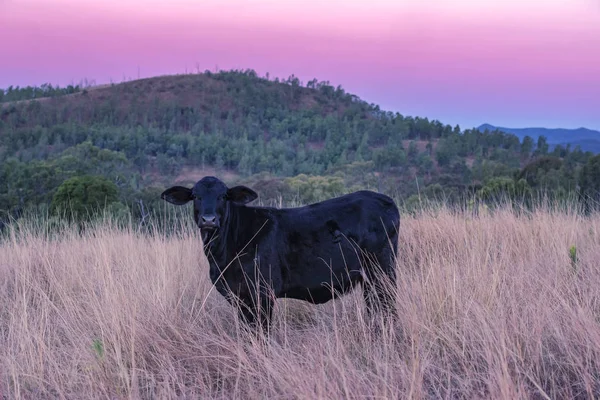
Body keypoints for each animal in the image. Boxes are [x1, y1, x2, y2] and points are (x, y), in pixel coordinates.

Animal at [162, 177, 400, 330]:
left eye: (223, 196)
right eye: (195, 196)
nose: (209, 220)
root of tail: (384, 199)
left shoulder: (262, 293)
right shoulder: (240, 297)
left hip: (382, 273)